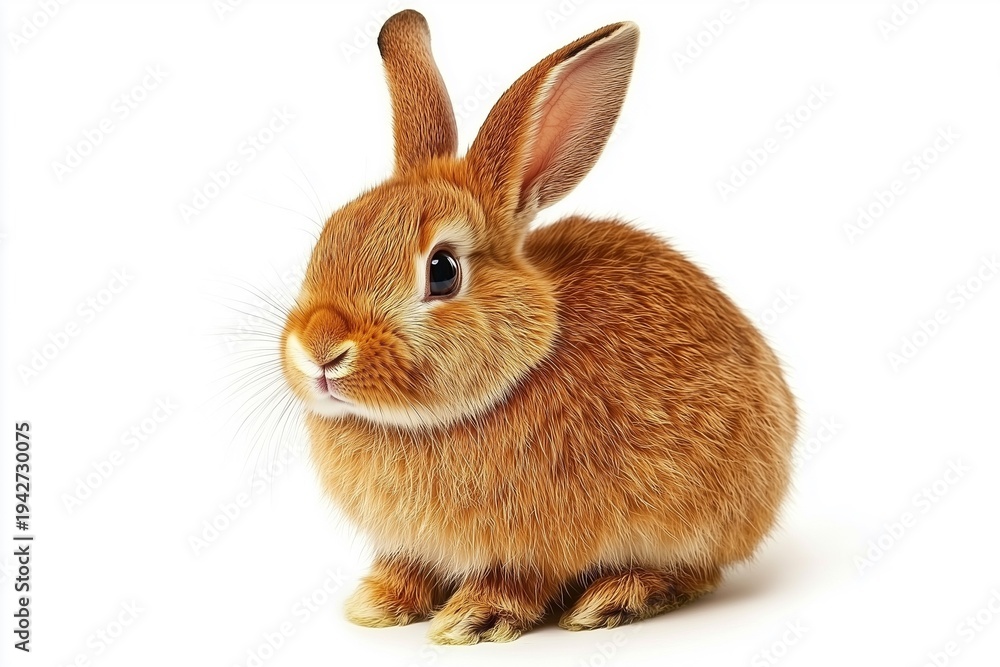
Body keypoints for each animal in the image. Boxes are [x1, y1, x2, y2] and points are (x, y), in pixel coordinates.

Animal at [279, 9, 798, 645]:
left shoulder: (540, 545)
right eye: (330, 234)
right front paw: (378, 603)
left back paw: (614, 598)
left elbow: (519, 580)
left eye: (443, 270)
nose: (320, 348)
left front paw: (474, 617)